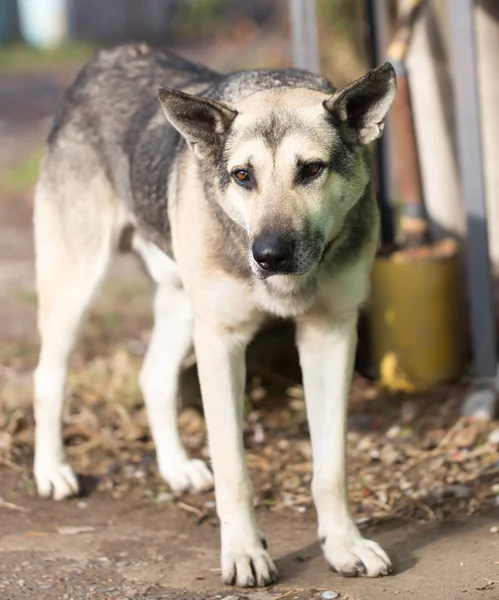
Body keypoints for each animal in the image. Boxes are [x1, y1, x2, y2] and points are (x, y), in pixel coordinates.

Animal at [32, 44, 398, 588]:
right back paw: (52, 470)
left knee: (153, 376)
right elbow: (233, 470)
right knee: (49, 376)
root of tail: (108, 55)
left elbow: (331, 467)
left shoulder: (331, 335)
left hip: (183, 304)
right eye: (242, 175)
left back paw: (176, 468)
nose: (267, 255)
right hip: (76, 284)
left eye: (311, 170)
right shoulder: (222, 342)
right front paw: (244, 552)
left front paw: (343, 545)